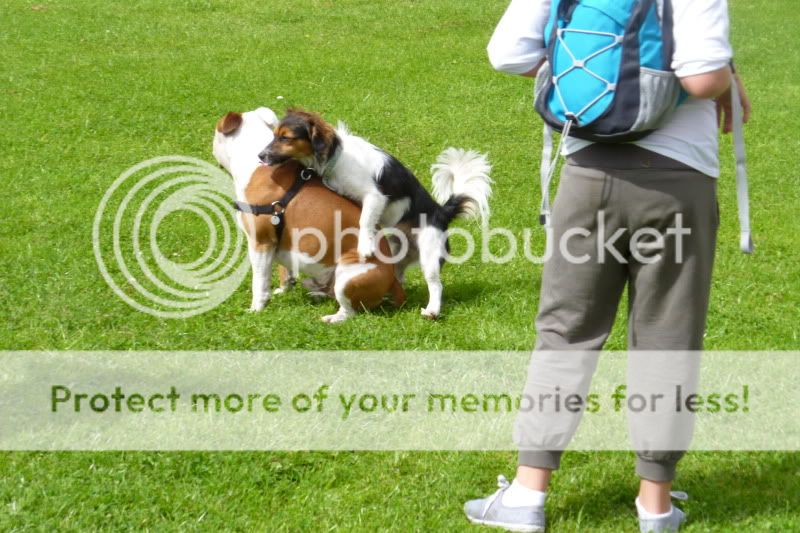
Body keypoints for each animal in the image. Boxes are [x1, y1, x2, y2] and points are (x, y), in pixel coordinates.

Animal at [212, 109, 404, 320]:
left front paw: (257, 307)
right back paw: (317, 293)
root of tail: (393, 280)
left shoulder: (261, 242)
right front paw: (284, 289)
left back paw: (333, 318)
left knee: (349, 311)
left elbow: (260, 281)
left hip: (347, 277)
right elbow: (284, 270)